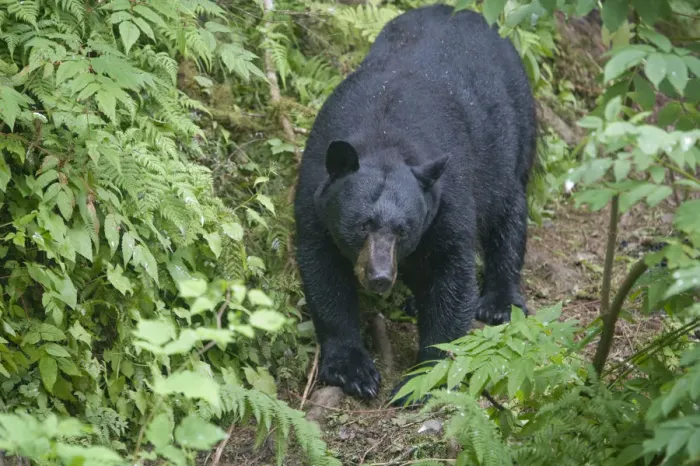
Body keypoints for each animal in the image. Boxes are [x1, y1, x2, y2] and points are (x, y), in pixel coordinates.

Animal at [293, 4, 537, 401]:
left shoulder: (447, 198)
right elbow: (323, 273)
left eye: (403, 229)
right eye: (362, 224)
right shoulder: (314, 192)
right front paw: (351, 369)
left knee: (509, 212)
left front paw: (423, 376)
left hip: (513, 131)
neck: (384, 135)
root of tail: (467, 12)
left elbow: (451, 275)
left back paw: (499, 302)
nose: (379, 276)